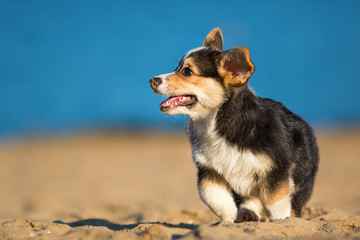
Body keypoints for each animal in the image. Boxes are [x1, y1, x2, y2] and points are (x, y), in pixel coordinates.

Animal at [150, 28, 320, 223]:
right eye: (176, 67)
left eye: (187, 71)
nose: (152, 81)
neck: (215, 123)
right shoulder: (208, 170)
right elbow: (211, 196)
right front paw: (229, 219)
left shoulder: (276, 170)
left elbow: (274, 204)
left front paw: (281, 221)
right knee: (250, 199)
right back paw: (247, 213)